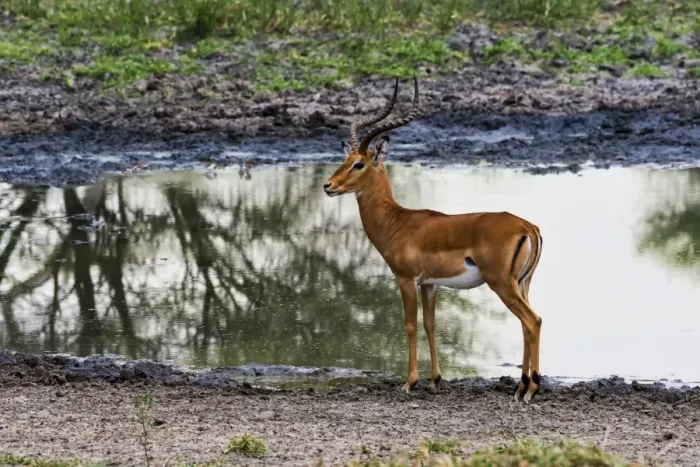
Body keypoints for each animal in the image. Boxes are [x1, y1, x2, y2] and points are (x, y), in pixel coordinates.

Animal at [323, 77, 544, 403]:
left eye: (359, 163)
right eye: (345, 159)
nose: (328, 186)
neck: (398, 222)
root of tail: (528, 226)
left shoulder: (406, 279)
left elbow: (410, 325)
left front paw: (410, 382)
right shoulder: (430, 284)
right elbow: (430, 324)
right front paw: (435, 380)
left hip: (502, 284)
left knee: (532, 321)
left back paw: (530, 390)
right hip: (522, 284)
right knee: (525, 325)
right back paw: (519, 387)